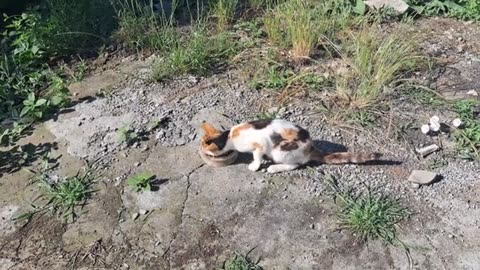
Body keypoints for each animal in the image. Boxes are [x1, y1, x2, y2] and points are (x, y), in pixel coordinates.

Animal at [201, 119, 380, 173]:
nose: (200, 151)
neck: (228, 136)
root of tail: (311, 148)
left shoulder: (260, 143)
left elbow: (257, 155)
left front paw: (254, 165)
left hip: (281, 150)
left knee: (295, 165)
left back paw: (274, 168)